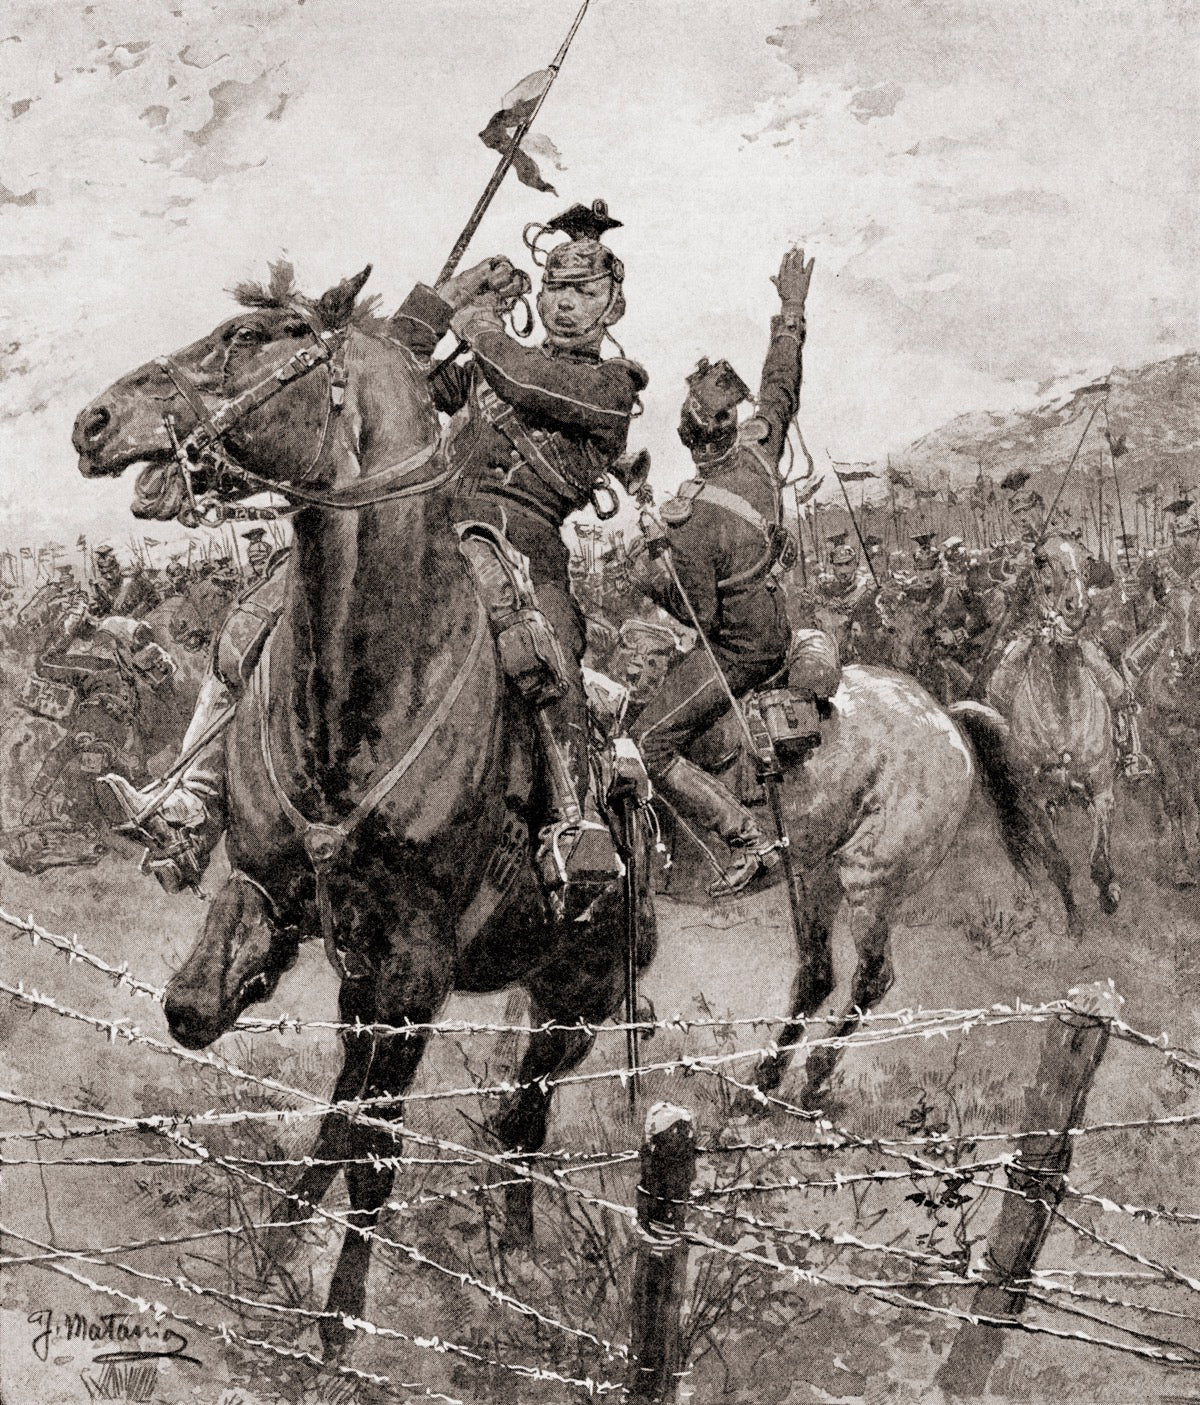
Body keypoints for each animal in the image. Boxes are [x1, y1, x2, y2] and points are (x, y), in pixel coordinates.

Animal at [72, 268, 657, 1354]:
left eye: (254, 333)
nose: (94, 422)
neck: (368, 686)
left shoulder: (418, 971)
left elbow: (378, 1149)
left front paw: (339, 1328)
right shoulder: (280, 904)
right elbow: (233, 1031)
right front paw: (275, 1260)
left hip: (578, 997)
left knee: (522, 1119)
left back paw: (517, 1257)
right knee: (415, 1106)